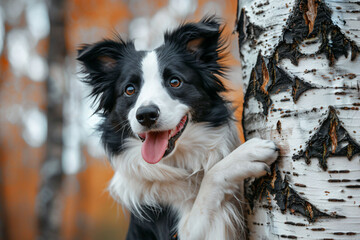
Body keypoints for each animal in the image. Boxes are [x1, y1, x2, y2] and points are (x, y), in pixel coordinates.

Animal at [77, 15, 278, 239]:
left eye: (175, 82)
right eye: (129, 90)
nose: (146, 115)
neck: (182, 164)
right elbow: (211, 180)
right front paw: (245, 156)